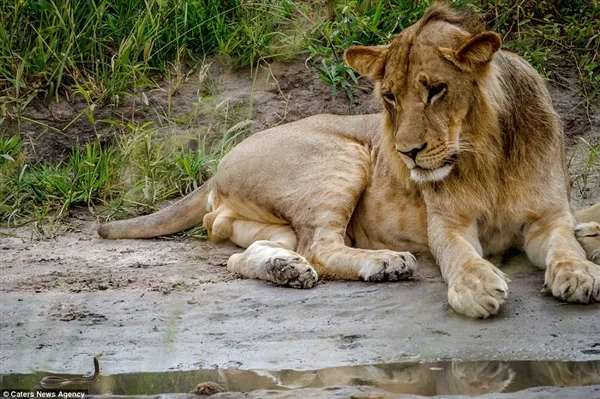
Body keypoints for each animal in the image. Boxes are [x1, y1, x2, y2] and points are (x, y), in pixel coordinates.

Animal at [98, 3, 600, 318]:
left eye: (436, 90)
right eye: (389, 97)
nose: (406, 153)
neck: (487, 151)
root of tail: (220, 163)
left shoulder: (549, 217)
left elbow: (565, 245)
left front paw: (581, 274)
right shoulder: (447, 223)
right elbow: (459, 254)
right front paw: (476, 288)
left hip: (268, 219)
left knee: (256, 254)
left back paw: (285, 269)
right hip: (342, 157)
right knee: (320, 247)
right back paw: (385, 263)